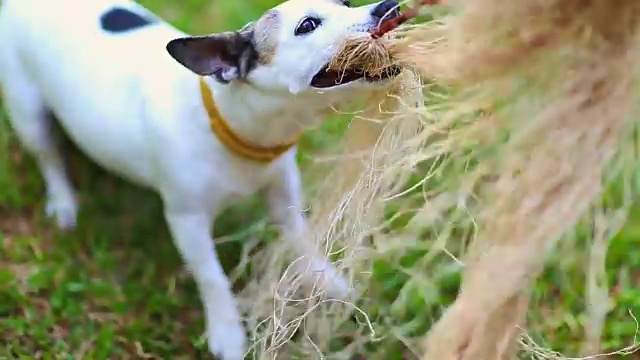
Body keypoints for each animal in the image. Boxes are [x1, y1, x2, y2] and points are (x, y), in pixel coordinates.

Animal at [0, 0, 400, 358]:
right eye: (307, 25)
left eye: (346, 2)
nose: (388, 6)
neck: (233, 121)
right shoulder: (186, 221)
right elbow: (212, 277)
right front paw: (228, 332)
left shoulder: (282, 187)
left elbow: (299, 236)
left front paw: (323, 278)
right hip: (28, 111)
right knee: (49, 156)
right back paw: (63, 202)